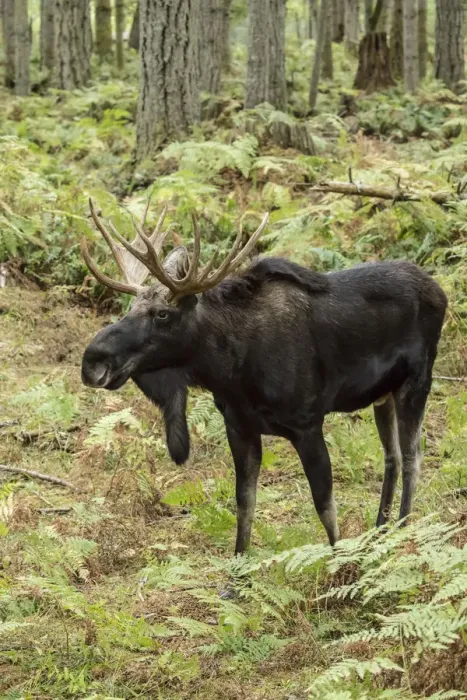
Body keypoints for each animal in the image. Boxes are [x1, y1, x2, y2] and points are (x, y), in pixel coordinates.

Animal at [81, 199, 447, 557]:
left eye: (162, 314)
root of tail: (439, 292)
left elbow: (325, 506)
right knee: (392, 458)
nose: (92, 360)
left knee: (413, 458)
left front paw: (342, 563)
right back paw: (380, 530)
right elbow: (244, 504)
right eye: (129, 308)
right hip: (383, 395)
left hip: (417, 381)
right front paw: (237, 570)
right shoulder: (239, 427)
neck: (232, 373)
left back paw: (403, 528)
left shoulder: (307, 424)